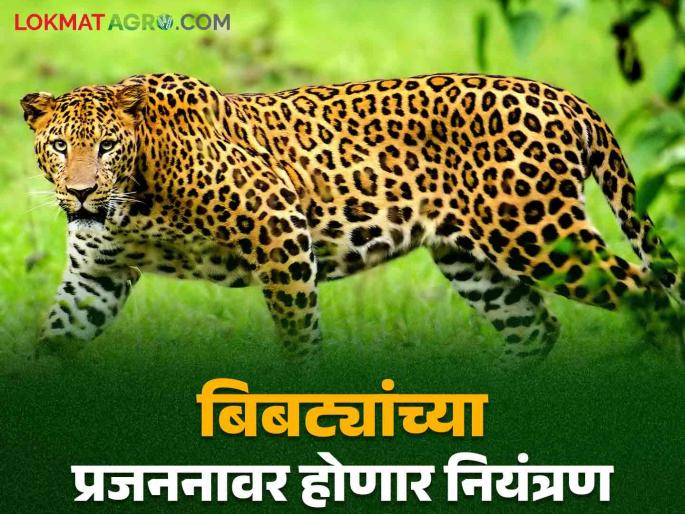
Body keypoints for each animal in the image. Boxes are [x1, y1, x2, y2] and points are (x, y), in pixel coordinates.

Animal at [20, 72, 684, 366]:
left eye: (107, 145)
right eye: (59, 145)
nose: (80, 194)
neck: (133, 199)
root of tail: (567, 96)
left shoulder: (280, 231)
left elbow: (299, 339)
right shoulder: (95, 279)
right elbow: (54, 341)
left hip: (540, 233)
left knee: (650, 295)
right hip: (471, 259)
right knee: (534, 328)